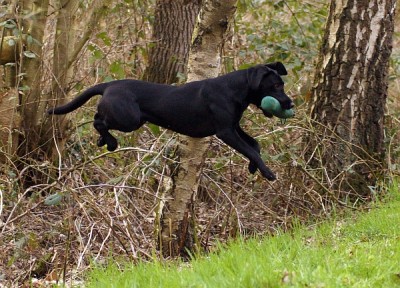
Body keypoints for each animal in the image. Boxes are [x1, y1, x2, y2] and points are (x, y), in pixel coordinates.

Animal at [49, 62, 294, 180]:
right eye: (276, 85)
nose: (290, 103)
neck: (236, 89)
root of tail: (108, 85)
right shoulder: (225, 131)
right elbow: (251, 149)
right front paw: (268, 172)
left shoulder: (234, 126)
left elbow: (255, 145)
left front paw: (253, 167)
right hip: (130, 119)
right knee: (98, 121)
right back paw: (109, 142)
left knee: (99, 121)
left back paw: (104, 141)